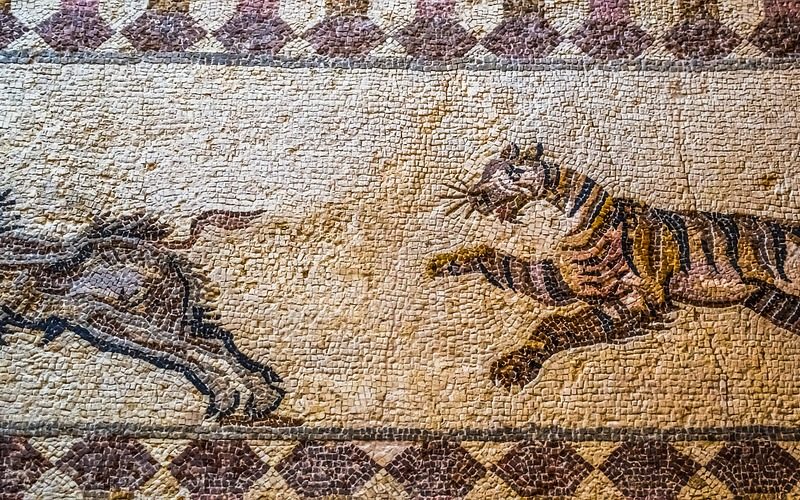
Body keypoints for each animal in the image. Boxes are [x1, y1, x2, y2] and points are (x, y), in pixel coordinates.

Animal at [427, 143, 800, 389]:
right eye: (485, 169)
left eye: (513, 172)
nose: (476, 195)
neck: (564, 227)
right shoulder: (558, 280)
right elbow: (497, 259)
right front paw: (443, 262)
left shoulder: (641, 297)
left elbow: (555, 325)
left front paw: (513, 367)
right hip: (772, 301)